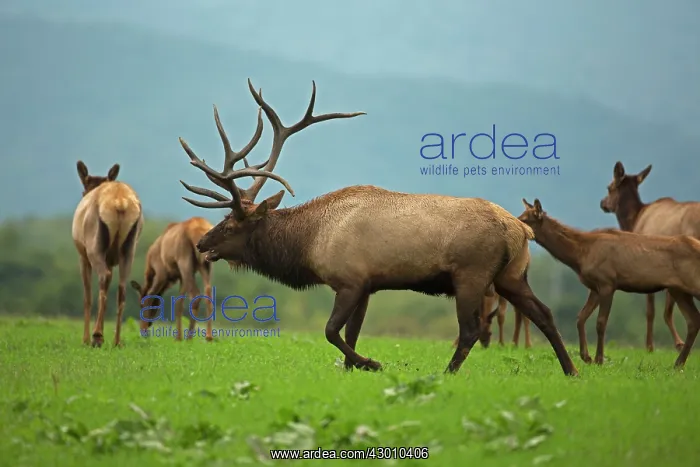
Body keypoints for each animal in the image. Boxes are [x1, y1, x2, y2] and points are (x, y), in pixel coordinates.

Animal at [72, 161, 144, 347]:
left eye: (83, 189)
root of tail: (120, 203)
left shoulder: (82, 257)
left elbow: (87, 297)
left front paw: (85, 339)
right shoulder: (111, 260)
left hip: (94, 248)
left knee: (104, 277)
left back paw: (96, 336)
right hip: (129, 249)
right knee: (121, 286)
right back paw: (117, 340)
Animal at [174, 78, 579, 377]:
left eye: (232, 224)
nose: (203, 243)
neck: (309, 243)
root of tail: (521, 231)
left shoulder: (350, 280)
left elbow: (331, 331)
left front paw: (372, 363)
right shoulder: (368, 285)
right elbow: (350, 333)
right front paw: (354, 367)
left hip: (472, 274)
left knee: (471, 329)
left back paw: (445, 374)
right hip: (512, 275)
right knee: (544, 313)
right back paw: (572, 370)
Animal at [518, 198, 700, 367]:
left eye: (525, 219)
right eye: (521, 216)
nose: (516, 224)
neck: (579, 255)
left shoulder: (607, 282)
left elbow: (601, 322)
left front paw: (599, 359)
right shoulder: (594, 287)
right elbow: (581, 317)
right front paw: (586, 357)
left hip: (692, 284)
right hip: (678, 290)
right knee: (693, 320)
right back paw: (678, 363)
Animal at [600, 161, 700, 352]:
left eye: (609, 187)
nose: (602, 203)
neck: (633, 221)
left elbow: (652, 311)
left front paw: (651, 345)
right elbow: (666, 311)